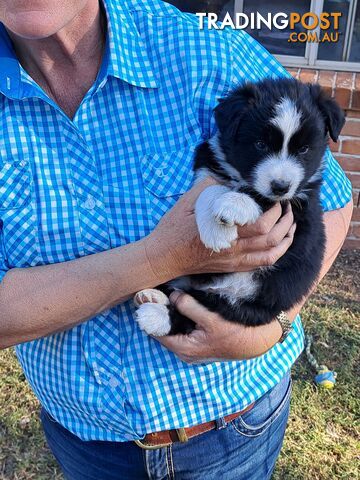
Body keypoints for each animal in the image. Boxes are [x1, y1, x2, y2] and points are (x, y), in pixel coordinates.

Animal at [134, 77, 344, 336]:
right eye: (260, 144)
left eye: (304, 149)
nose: (280, 186)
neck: (237, 176)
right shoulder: (208, 168)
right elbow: (208, 190)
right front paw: (215, 230)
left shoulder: (298, 205)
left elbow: (261, 196)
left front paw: (231, 207)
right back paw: (153, 297)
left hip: (245, 304)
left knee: (200, 306)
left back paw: (156, 315)